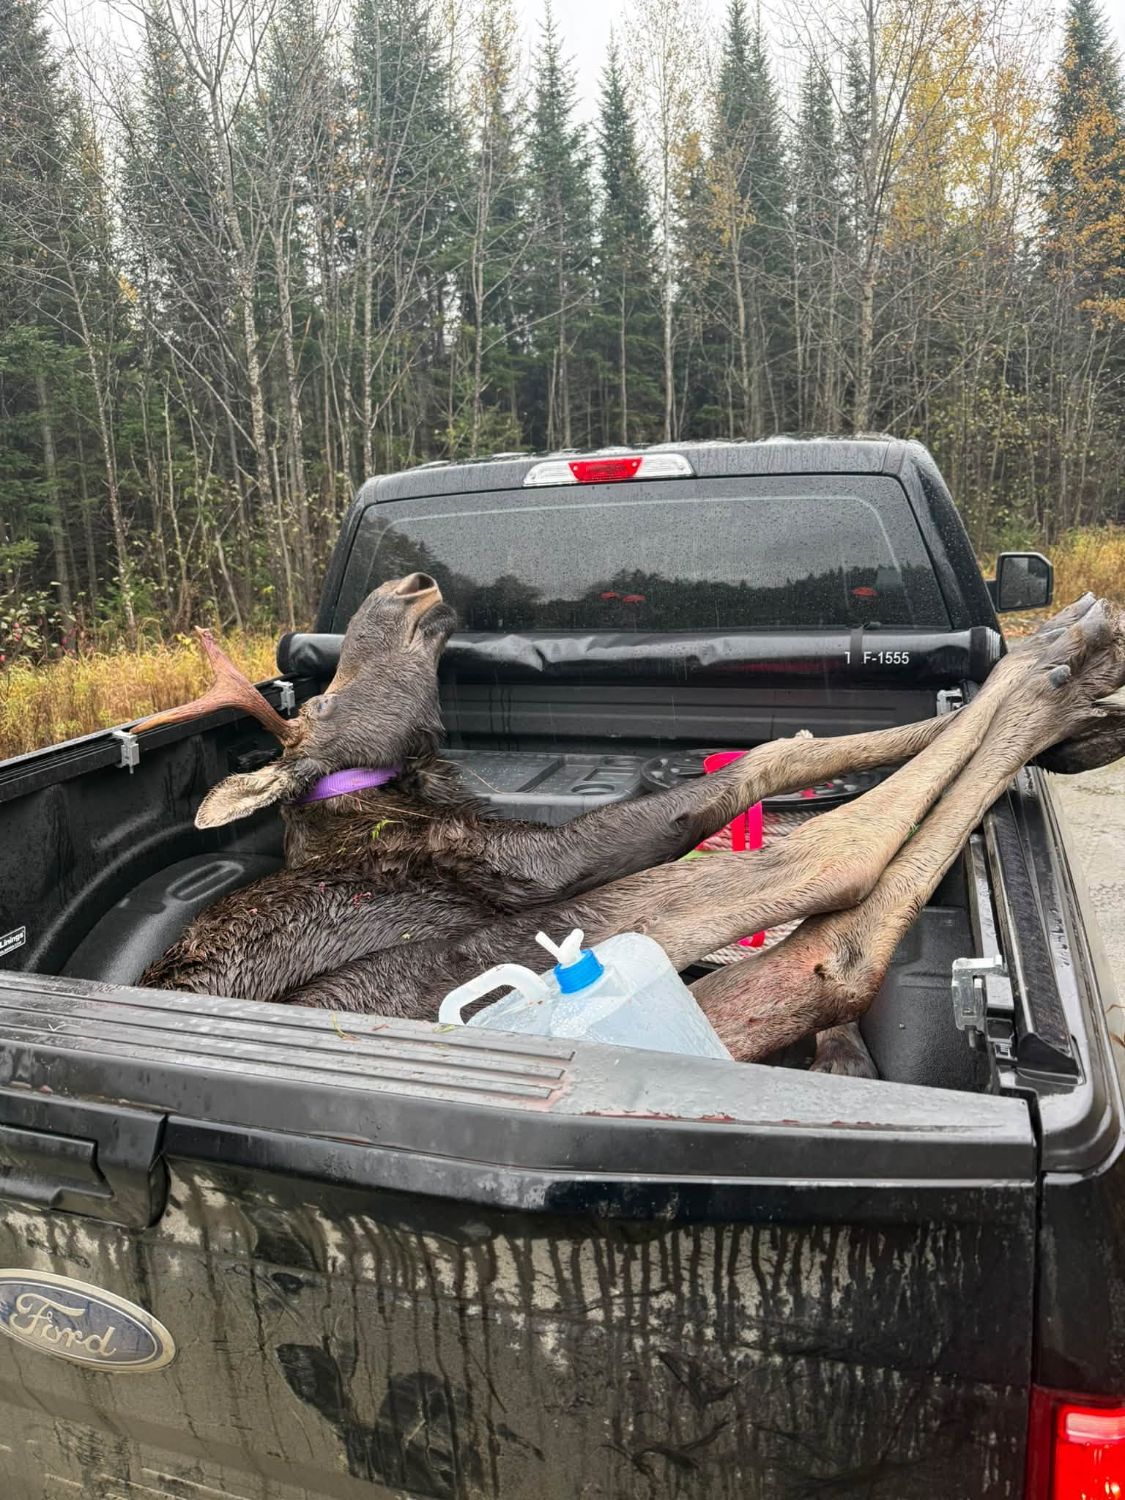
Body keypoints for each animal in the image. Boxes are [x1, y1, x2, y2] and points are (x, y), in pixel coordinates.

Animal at [135, 573, 1125, 1075]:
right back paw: (1057, 667)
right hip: (512, 956)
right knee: (825, 899)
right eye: (324, 695)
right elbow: (766, 763)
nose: (403, 587)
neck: (381, 794)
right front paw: (1066, 673)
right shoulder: (535, 866)